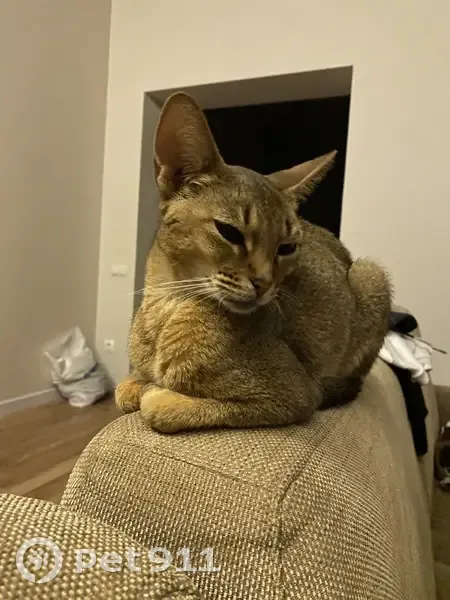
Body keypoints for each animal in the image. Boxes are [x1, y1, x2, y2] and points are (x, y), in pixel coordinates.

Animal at [115, 92, 392, 433]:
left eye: (287, 247)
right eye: (229, 231)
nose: (264, 283)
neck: (170, 304)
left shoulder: (294, 395)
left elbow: (157, 405)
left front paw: (159, 394)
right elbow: (124, 389)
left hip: (372, 274)